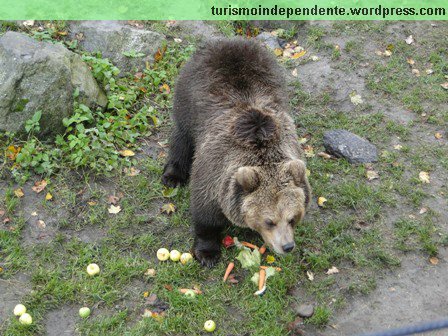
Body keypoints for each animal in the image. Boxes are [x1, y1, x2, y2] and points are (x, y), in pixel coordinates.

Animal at [162, 37, 312, 268]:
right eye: (269, 221)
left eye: (292, 218)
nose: (287, 246)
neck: (262, 151)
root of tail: (228, 41)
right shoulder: (215, 172)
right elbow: (205, 212)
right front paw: (207, 253)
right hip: (189, 97)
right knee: (182, 137)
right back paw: (173, 176)